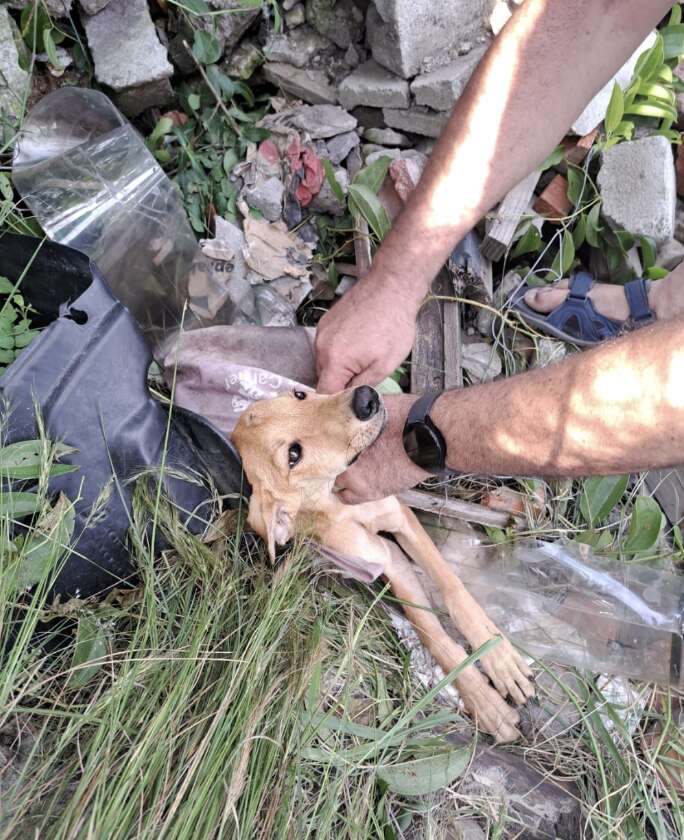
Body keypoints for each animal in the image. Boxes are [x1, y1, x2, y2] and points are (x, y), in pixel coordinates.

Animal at [232, 384, 536, 740]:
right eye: (293, 455)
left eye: (299, 395)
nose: (366, 398)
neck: (336, 502)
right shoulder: (387, 559)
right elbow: (433, 634)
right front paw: (483, 700)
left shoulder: (401, 518)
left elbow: (452, 588)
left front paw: (498, 655)